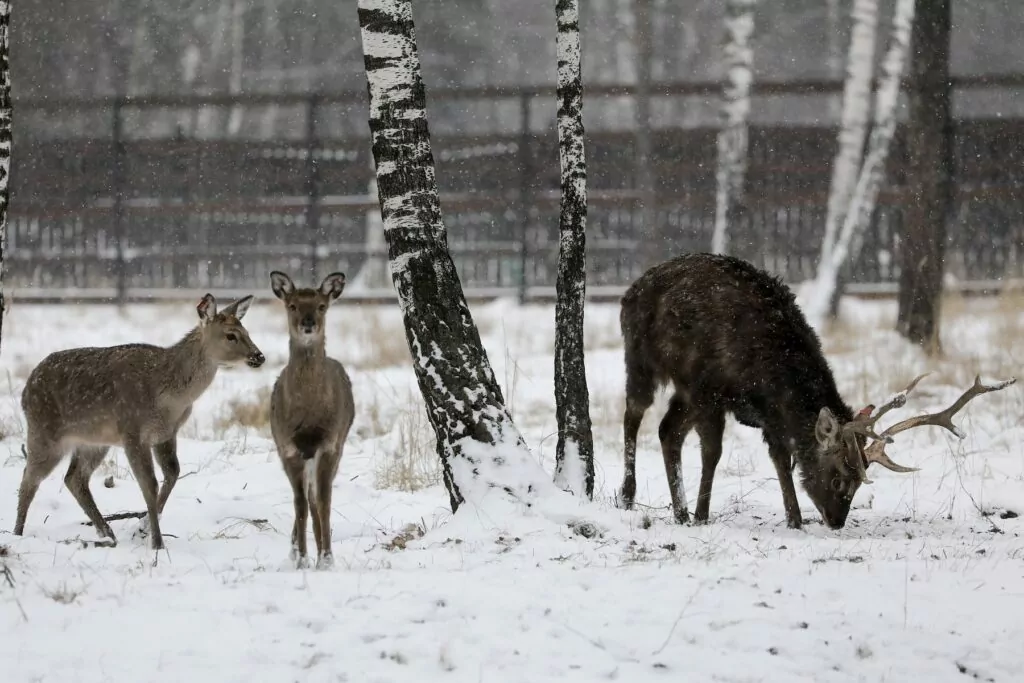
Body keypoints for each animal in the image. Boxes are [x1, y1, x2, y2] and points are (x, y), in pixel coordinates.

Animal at [13, 294, 264, 548]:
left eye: (246, 331)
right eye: (230, 335)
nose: (259, 356)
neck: (170, 397)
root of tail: (25, 390)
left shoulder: (166, 433)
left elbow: (173, 473)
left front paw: (141, 527)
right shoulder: (132, 430)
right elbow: (149, 484)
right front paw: (157, 542)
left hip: (94, 441)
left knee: (74, 478)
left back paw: (107, 533)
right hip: (44, 430)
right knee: (29, 480)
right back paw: (17, 534)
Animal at [268, 270, 356, 569]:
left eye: (321, 306)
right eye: (292, 305)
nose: (308, 323)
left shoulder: (329, 444)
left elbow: (324, 501)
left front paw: (326, 558)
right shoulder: (288, 447)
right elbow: (300, 505)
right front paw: (302, 559)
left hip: (340, 442)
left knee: (315, 497)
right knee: (306, 498)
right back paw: (297, 550)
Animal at [610, 253, 1011, 532]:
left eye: (859, 482)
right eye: (837, 477)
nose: (836, 520)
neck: (765, 372)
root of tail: (630, 290)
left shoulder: (765, 412)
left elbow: (779, 456)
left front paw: (794, 518)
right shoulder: (710, 390)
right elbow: (713, 452)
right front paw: (702, 514)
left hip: (680, 389)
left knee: (667, 431)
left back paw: (677, 511)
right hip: (641, 359)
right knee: (634, 414)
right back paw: (629, 495)